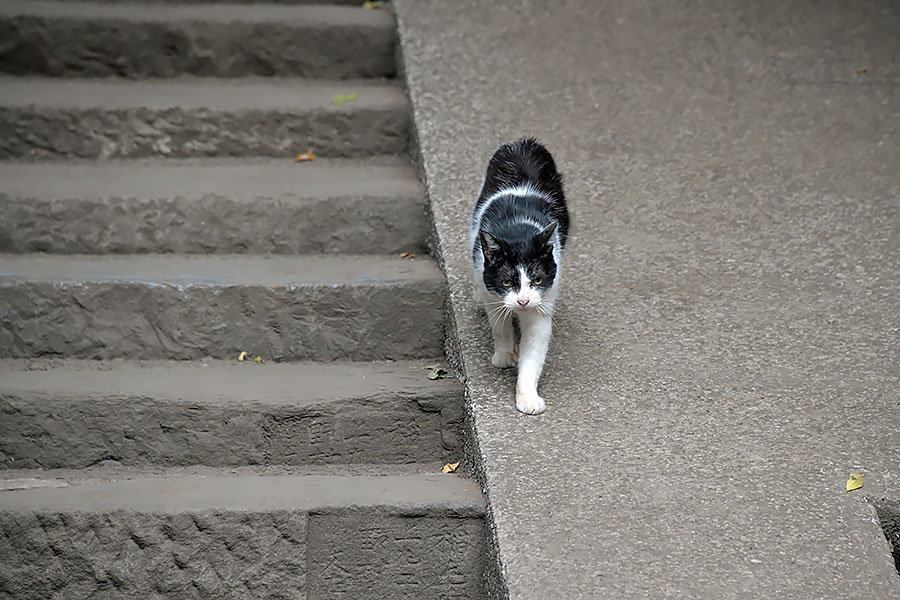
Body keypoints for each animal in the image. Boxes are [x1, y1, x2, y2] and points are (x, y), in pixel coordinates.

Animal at [472, 138, 568, 414]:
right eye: (506, 281)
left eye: (537, 280)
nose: (523, 301)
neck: (518, 231)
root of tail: (524, 142)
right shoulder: (492, 293)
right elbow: (500, 326)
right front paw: (505, 354)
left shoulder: (542, 306)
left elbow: (534, 354)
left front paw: (528, 397)